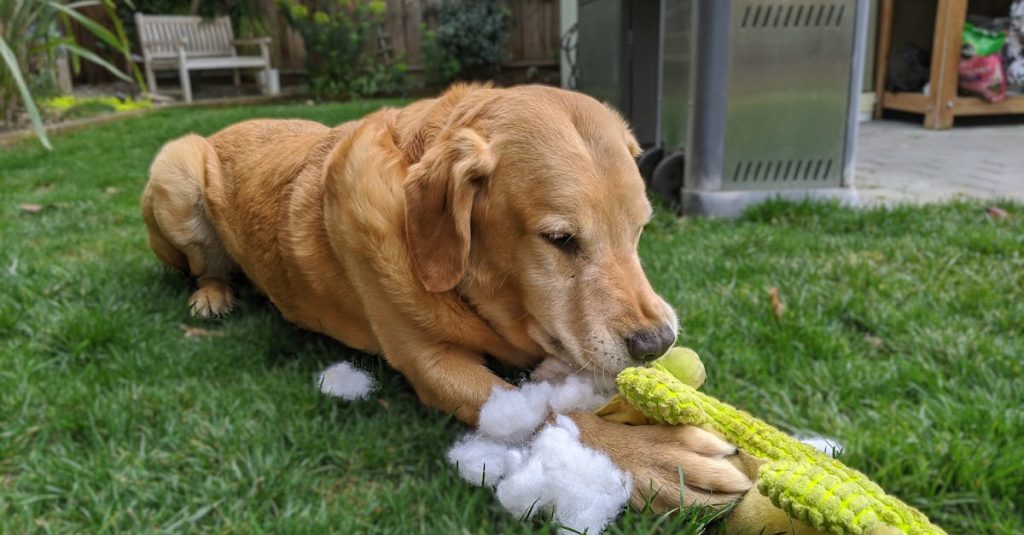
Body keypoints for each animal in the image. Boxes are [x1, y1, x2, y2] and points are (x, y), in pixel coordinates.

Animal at [140, 83, 753, 508]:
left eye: (641, 230)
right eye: (560, 240)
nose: (658, 343)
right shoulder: (432, 364)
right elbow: (539, 408)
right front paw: (657, 460)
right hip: (175, 171)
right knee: (201, 268)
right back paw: (212, 296)